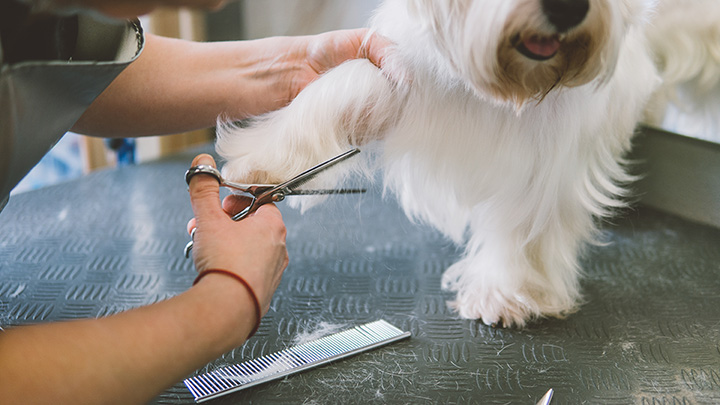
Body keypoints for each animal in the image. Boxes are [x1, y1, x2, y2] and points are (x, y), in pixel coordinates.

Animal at [217, 0, 660, 326]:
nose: (569, 8)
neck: (508, 89)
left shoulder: (552, 147)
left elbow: (525, 221)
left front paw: (505, 292)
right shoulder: (404, 65)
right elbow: (347, 83)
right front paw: (262, 163)